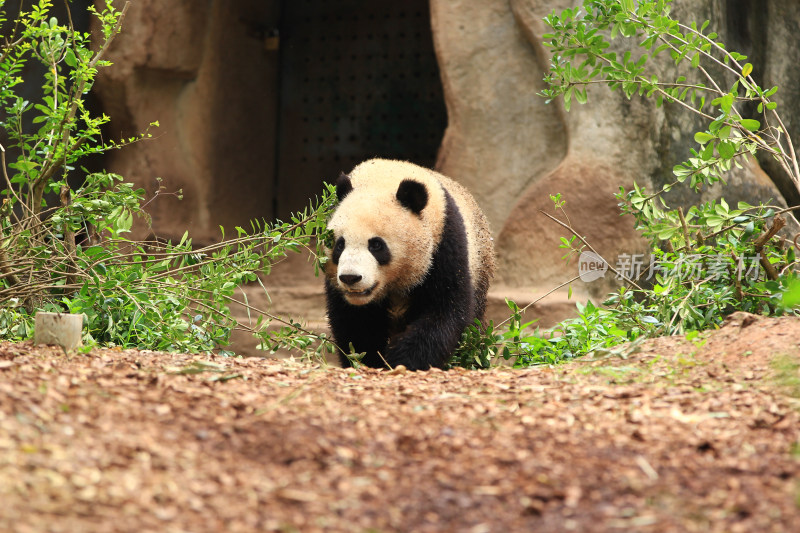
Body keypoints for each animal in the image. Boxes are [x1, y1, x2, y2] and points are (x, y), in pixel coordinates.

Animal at [324, 156, 494, 368]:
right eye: (340, 245)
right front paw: (369, 360)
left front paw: (401, 360)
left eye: (376, 245)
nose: (350, 277)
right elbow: (354, 324)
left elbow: (445, 310)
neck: (384, 178)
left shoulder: (444, 244)